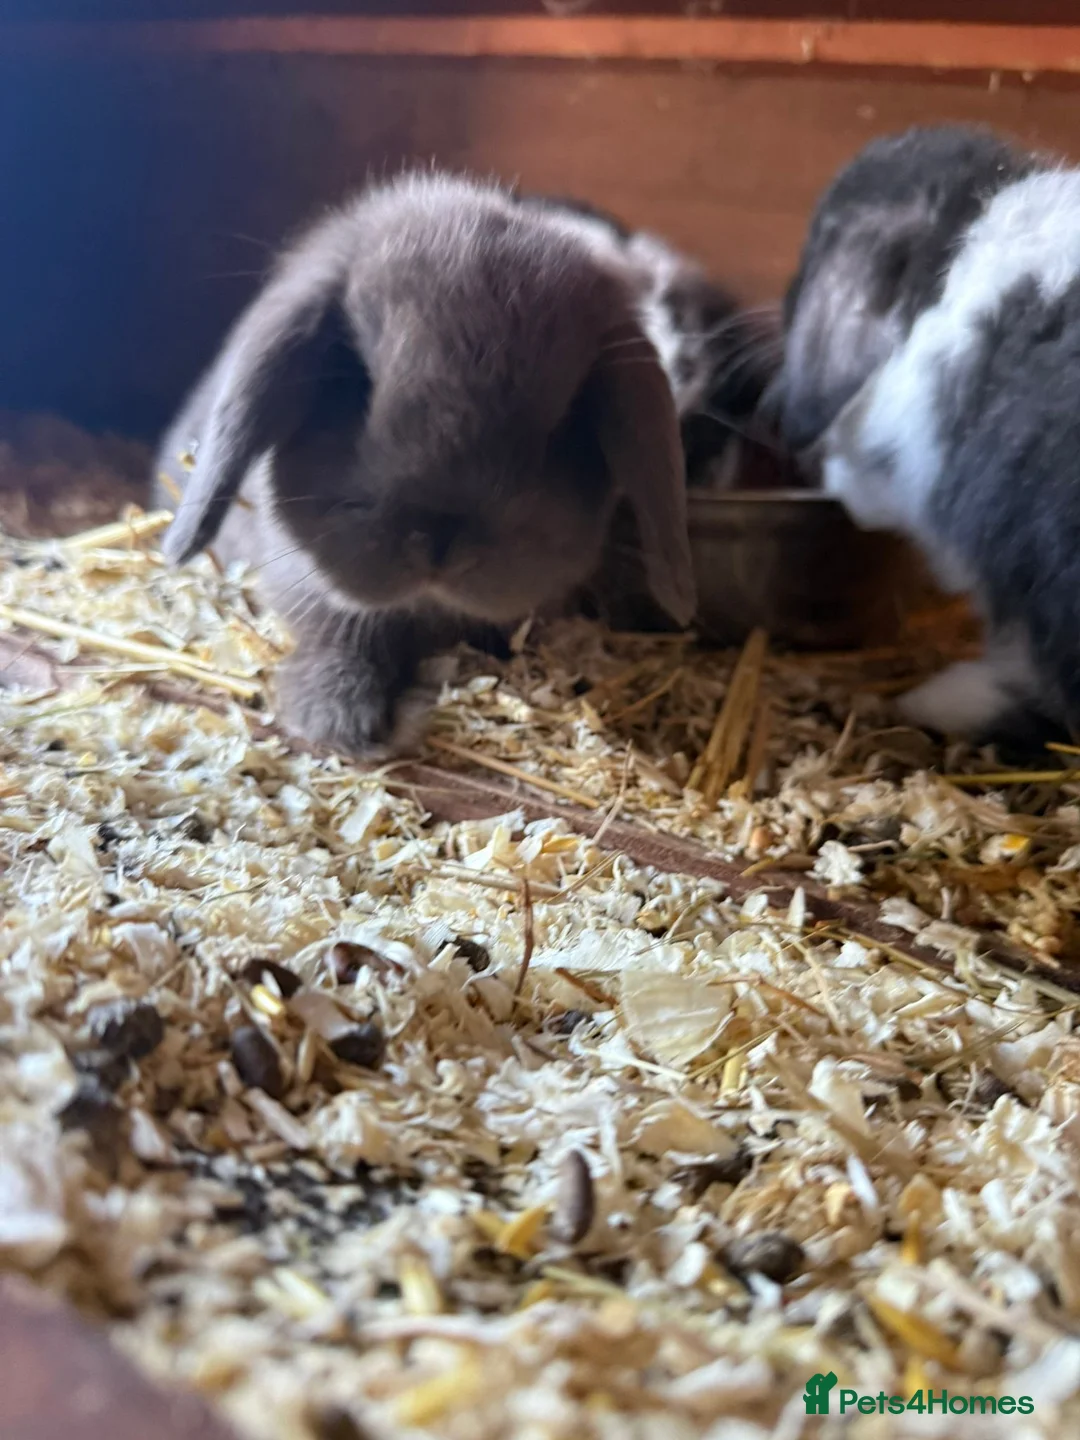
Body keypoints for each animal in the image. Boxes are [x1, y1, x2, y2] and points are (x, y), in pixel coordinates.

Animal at [154, 170, 696, 758]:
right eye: (354, 376)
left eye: (563, 418)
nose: (438, 544)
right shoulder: (300, 584)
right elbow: (334, 635)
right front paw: (341, 720)